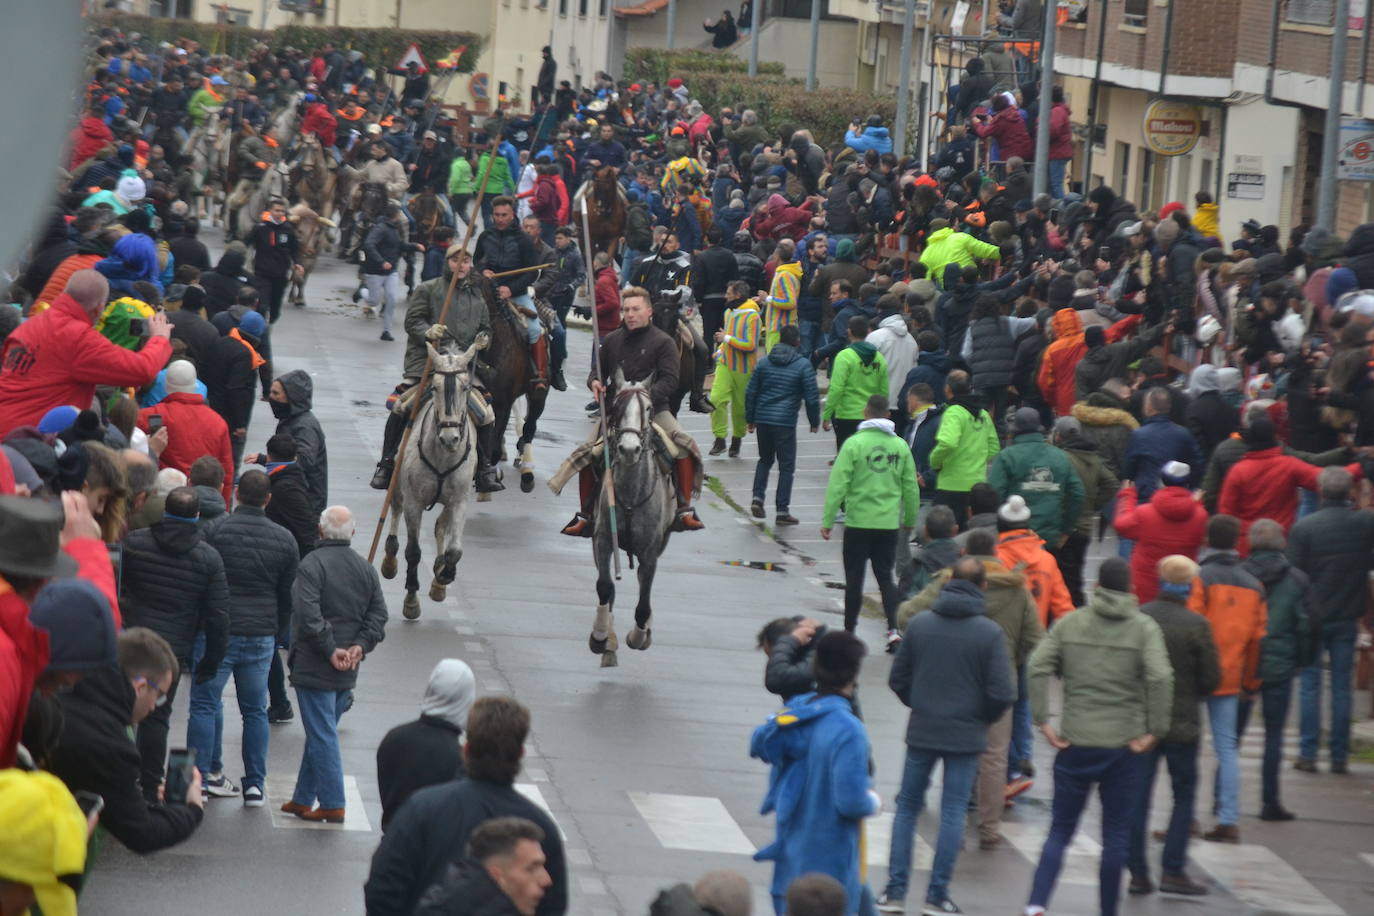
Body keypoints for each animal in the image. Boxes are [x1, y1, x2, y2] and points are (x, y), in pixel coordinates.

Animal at [381, 333, 489, 620]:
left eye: (465, 387)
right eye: (436, 387)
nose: (450, 438)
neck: (443, 455)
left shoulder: (459, 501)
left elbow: (454, 550)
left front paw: (443, 577)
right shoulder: (414, 502)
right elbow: (414, 551)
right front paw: (411, 600)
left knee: (441, 526)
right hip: (397, 486)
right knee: (394, 512)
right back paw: (389, 560)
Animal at [590, 368, 676, 670]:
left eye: (648, 408)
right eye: (616, 406)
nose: (629, 449)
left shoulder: (650, 552)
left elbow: (643, 601)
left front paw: (639, 636)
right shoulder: (603, 540)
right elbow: (605, 586)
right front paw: (601, 636)